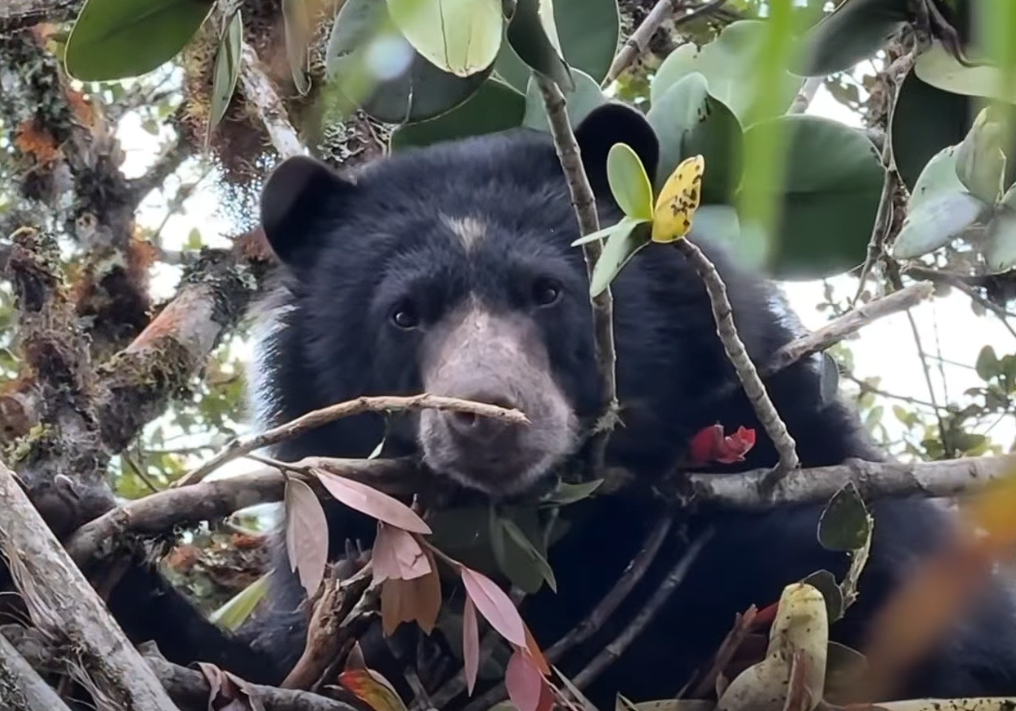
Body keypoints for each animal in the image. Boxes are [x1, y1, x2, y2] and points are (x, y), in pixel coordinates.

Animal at [108, 102, 1016, 708]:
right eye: (404, 313)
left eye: (547, 292)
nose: (487, 415)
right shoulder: (340, 543)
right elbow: (302, 659)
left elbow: (873, 586)